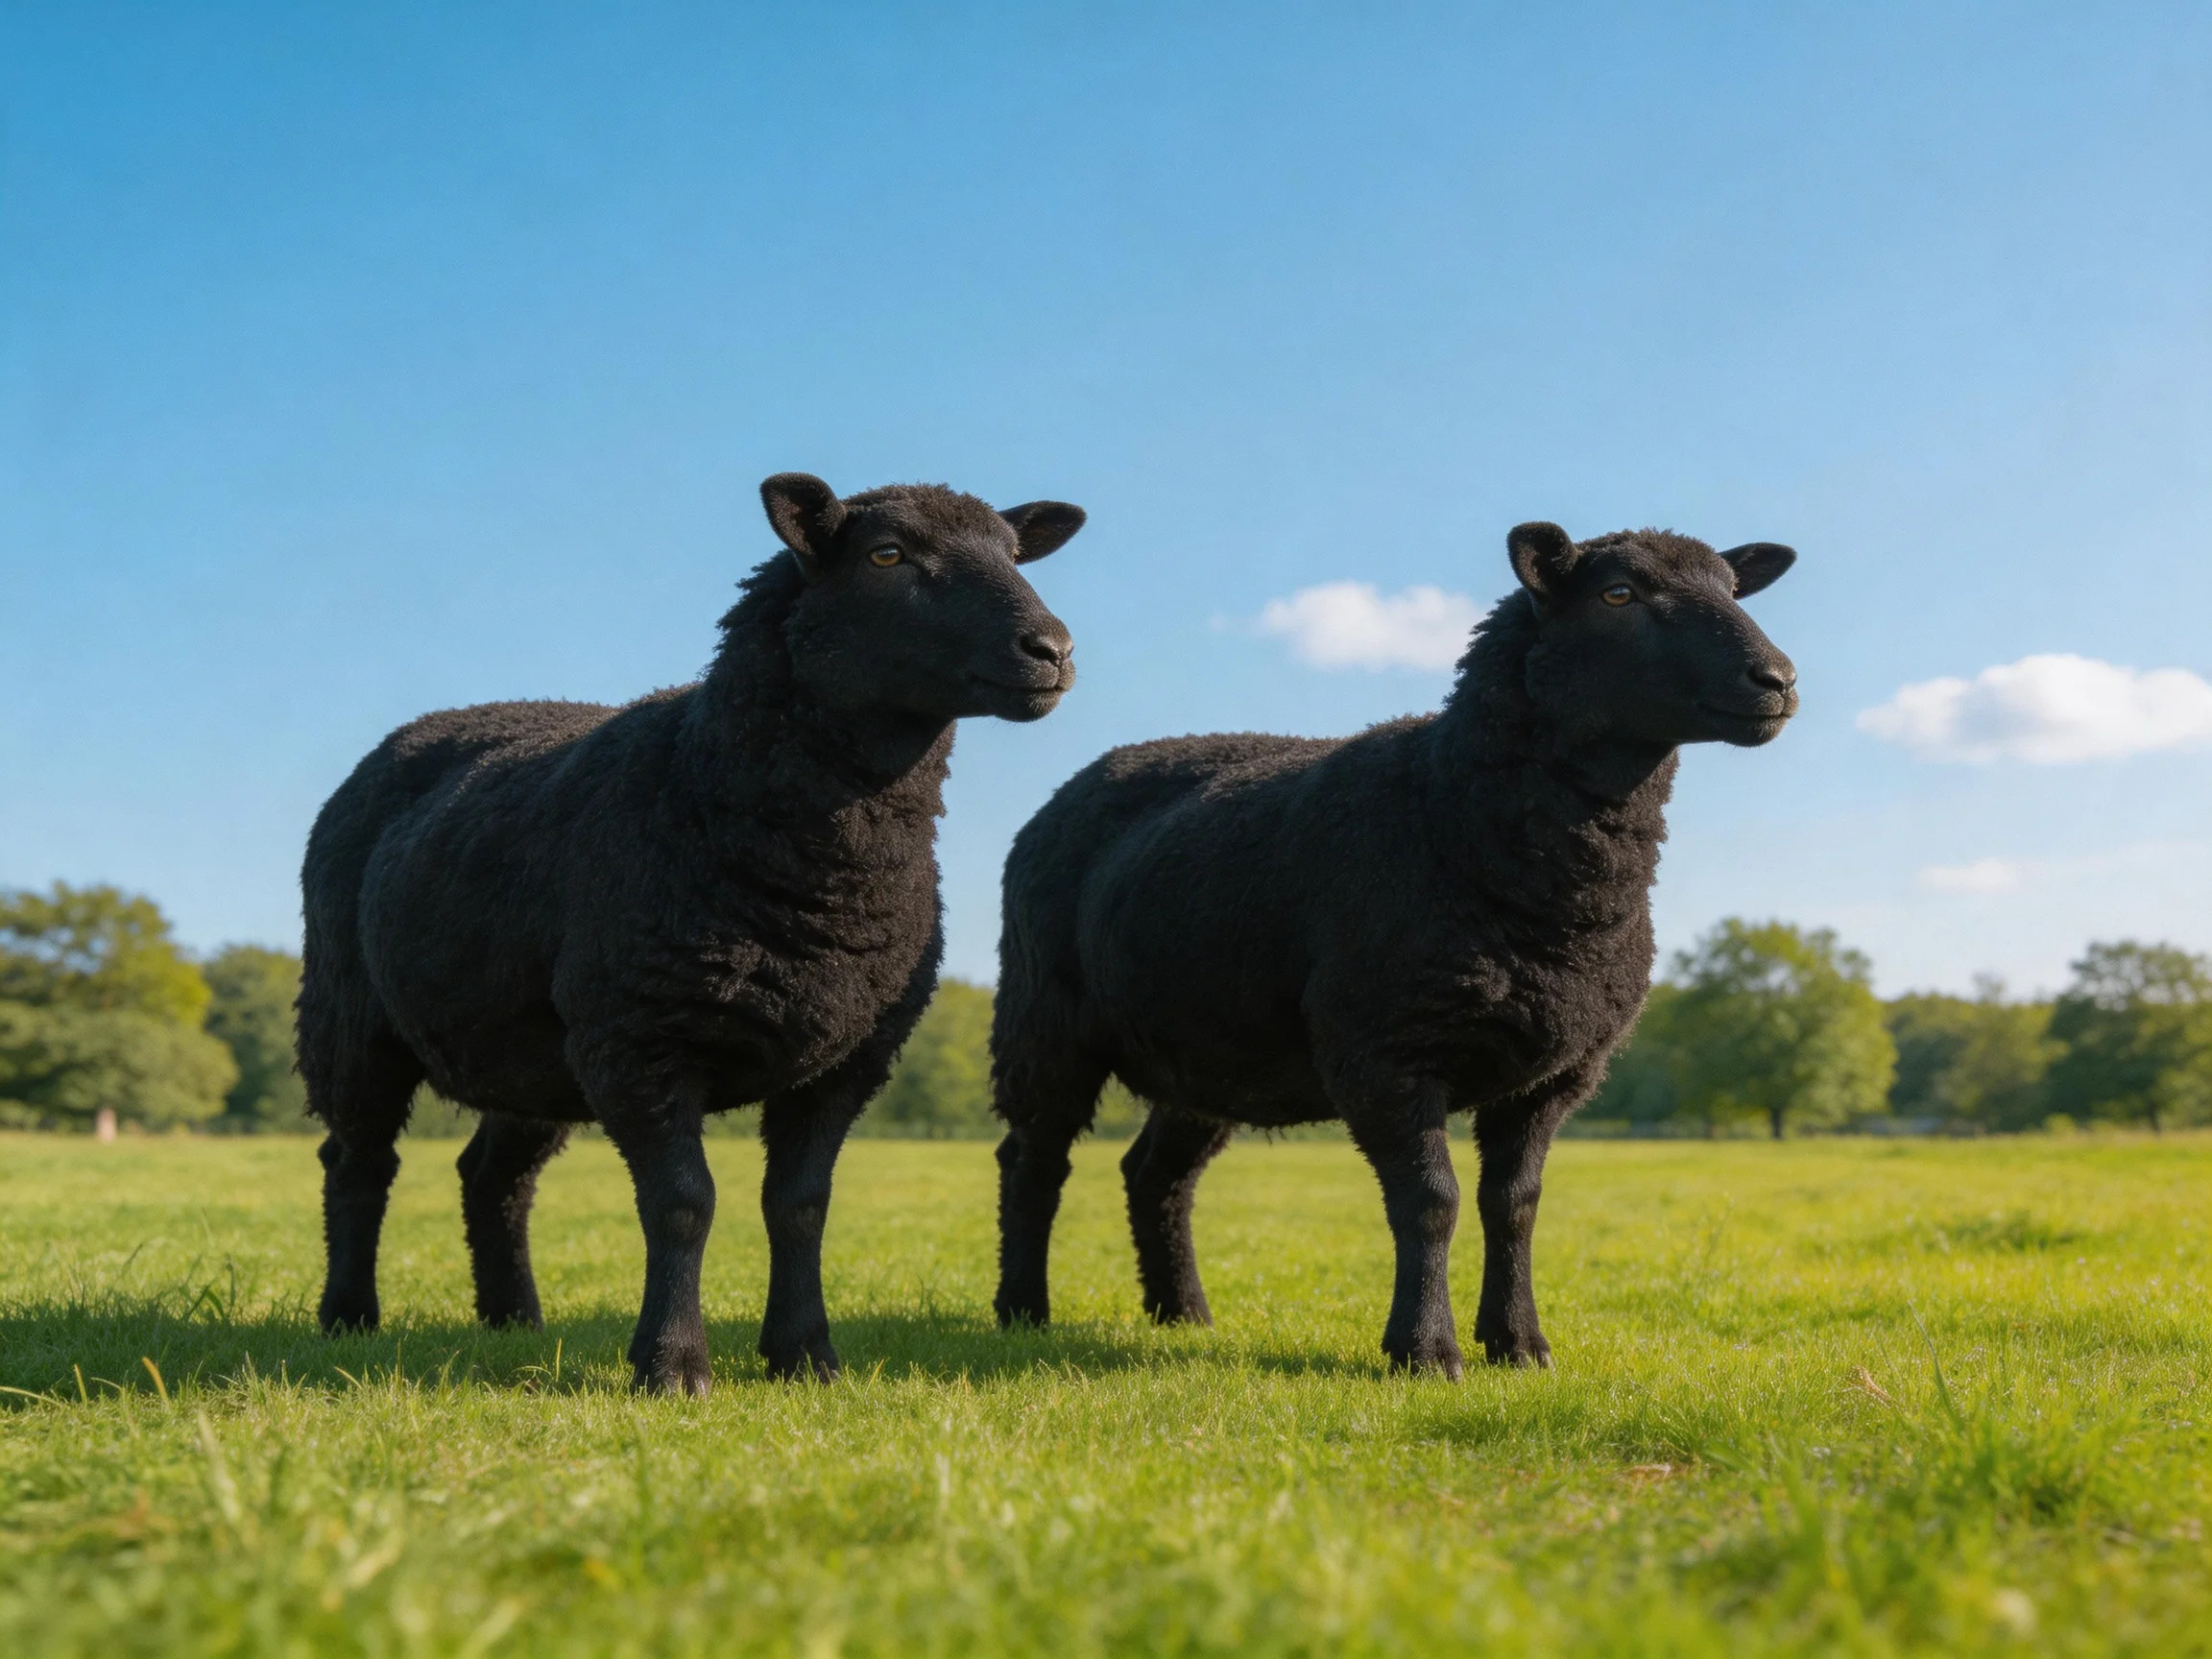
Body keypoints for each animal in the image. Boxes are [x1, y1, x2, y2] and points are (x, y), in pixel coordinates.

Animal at [298, 474, 1086, 1392]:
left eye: (1013, 553)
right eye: (887, 555)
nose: (1053, 651)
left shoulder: (848, 1056)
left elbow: (800, 1207)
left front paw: (805, 1355)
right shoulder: (642, 1041)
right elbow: (683, 1203)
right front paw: (672, 1365)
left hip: (534, 1049)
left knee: (491, 1175)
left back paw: (513, 1319)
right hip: (352, 1018)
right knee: (358, 1163)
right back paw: (348, 1316)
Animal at [990, 522, 1797, 1376]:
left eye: (1732, 590)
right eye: (1618, 594)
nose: (1777, 679)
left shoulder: (1552, 1075)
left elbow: (1514, 1206)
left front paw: (1519, 1344)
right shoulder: (1385, 1050)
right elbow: (1431, 1202)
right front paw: (1426, 1350)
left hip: (1204, 1052)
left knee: (1154, 1174)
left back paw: (1183, 1315)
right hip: (1044, 1021)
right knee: (1034, 1160)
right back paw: (1022, 1310)